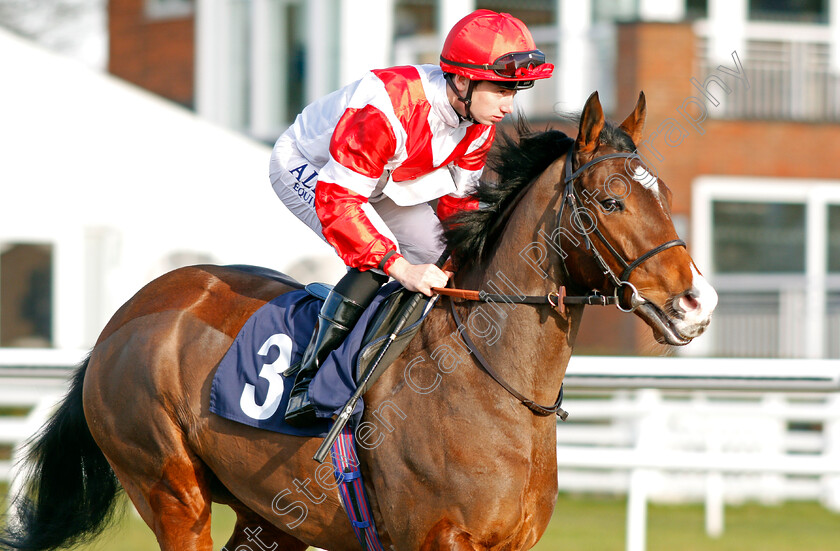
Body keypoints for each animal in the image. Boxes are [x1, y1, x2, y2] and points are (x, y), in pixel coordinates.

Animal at [4, 92, 716, 551]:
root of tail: (123, 319)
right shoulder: (435, 541)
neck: (494, 387)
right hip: (171, 491)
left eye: (664, 195)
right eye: (611, 201)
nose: (697, 302)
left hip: (272, 515)